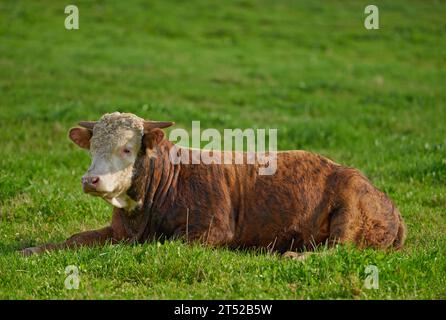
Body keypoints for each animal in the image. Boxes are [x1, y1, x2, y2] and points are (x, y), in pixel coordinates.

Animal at [20, 112, 406, 258]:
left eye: (127, 148)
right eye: (92, 148)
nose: (91, 179)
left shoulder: (212, 230)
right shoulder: (119, 230)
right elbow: (76, 238)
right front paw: (33, 249)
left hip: (349, 211)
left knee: (338, 248)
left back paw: (294, 255)